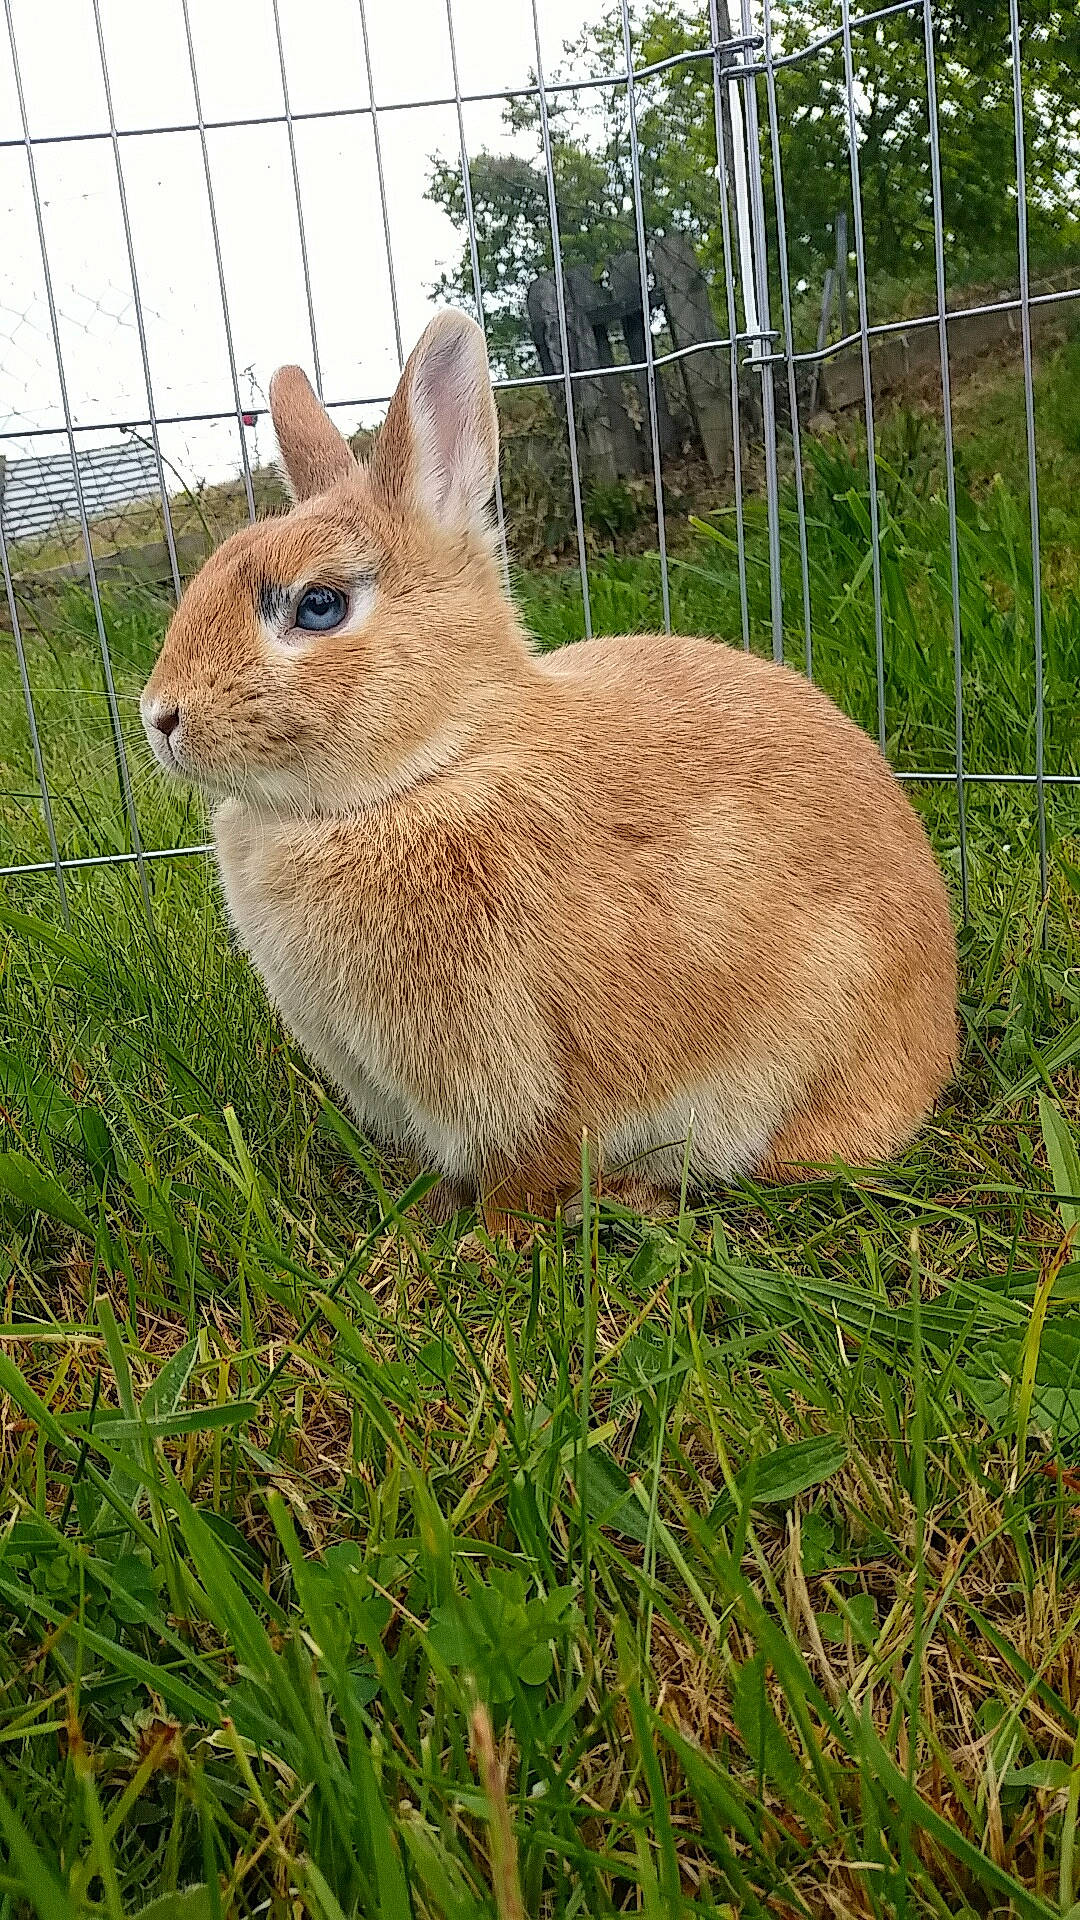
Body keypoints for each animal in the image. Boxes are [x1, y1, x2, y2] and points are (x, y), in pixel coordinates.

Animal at [141, 309, 957, 1234]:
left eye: (319, 606)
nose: (161, 716)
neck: (435, 767)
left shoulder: (523, 1079)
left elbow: (527, 1175)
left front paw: (483, 1245)